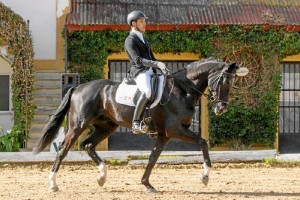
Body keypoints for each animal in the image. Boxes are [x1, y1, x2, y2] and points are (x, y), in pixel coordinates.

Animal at [33, 57, 239, 192]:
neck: (182, 91)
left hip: (106, 126)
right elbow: (203, 142)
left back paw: (102, 176)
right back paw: (53, 184)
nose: (221, 109)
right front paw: (205, 177)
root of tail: (78, 87)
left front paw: (146, 184)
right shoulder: (174, 130)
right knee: (63, 149)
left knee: (88, 145)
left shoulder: (165, 134)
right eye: (225, 82)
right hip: (78, 124)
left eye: (232, 83)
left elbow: (153, 157)